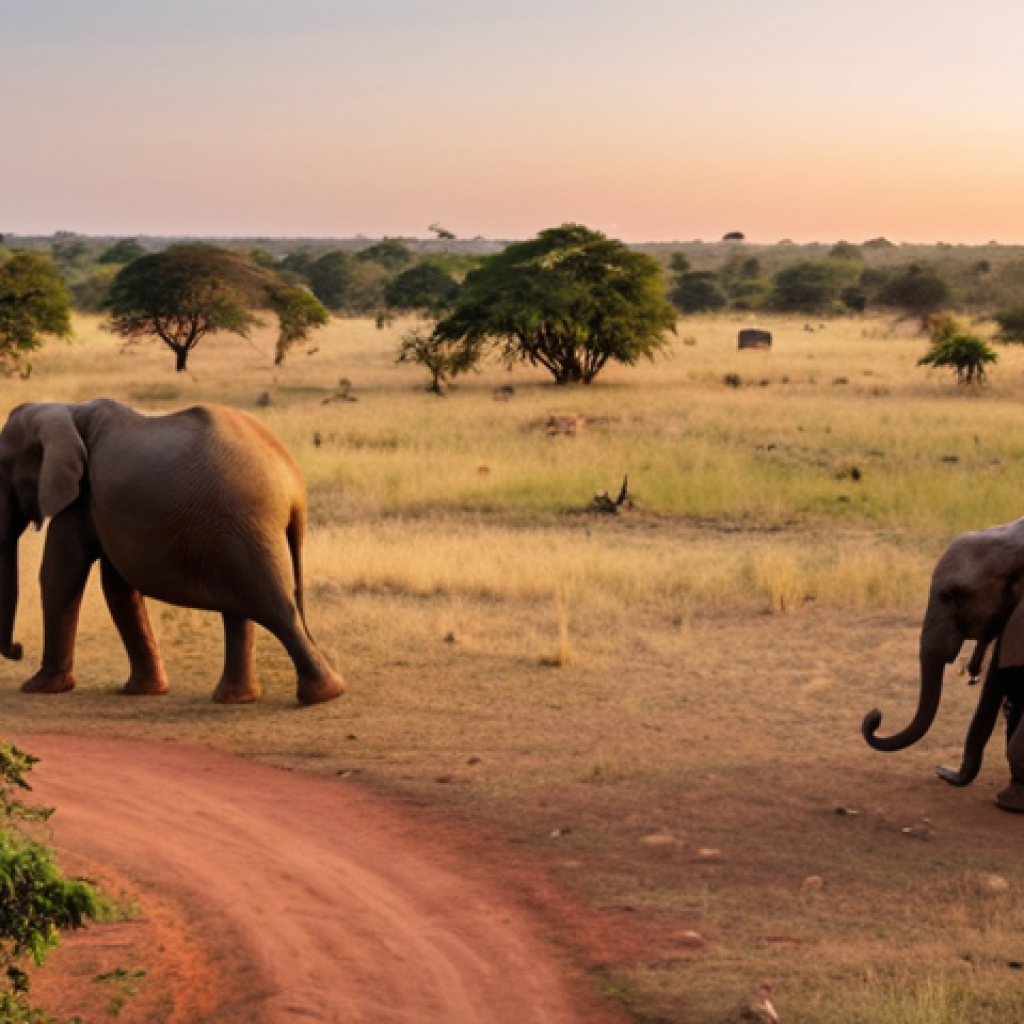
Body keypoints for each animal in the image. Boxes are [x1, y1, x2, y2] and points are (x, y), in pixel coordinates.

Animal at [0, 399, 345, 705]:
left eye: (3, 468)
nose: (16, 649)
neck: (66, 410)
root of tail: (294, 484)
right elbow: (117, 587)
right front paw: (143, 692)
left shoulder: (80, 498)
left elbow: (59, 573)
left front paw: (38, 687)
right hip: (235, 531)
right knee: (241, 607)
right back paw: (239, 698)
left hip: (241, 523)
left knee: (270, 603)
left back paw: (322, 695)